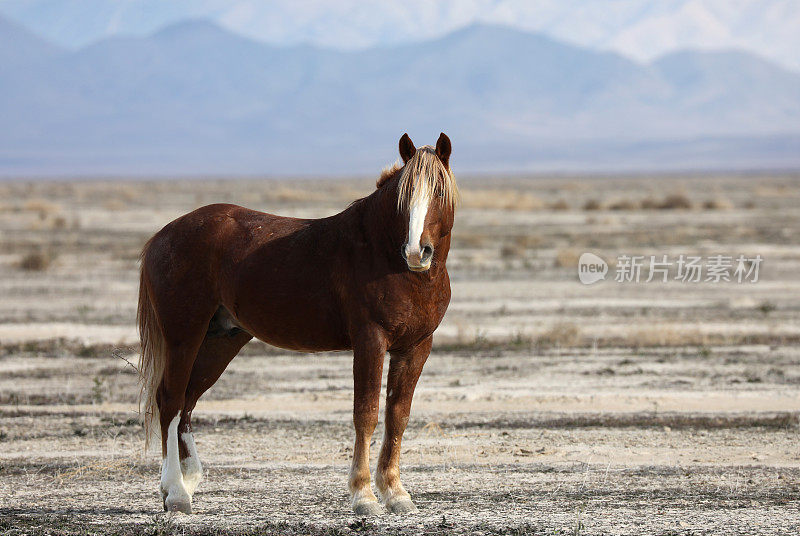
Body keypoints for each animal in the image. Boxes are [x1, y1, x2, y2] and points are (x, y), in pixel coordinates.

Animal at [139, 133, 456, 516]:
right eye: (403, 197)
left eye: (438, 192)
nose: (415, 252)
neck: (383, 255)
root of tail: (162, 236)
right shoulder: (370, 341)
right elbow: (365, 413)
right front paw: (364, 496)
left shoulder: (415, 347)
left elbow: (398, 415)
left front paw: (396, 493)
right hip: (184, 336)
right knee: (170, 401)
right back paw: (176, 493)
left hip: (220, 340)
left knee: (186, 402)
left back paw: (187, 481)